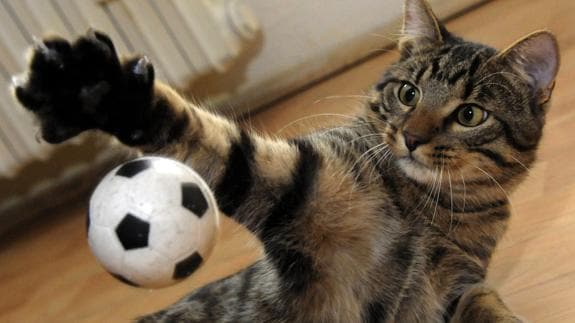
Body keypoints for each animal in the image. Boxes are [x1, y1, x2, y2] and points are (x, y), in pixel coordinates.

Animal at [11, 0, 560, 322]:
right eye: (408, 93)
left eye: (469, 114)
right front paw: (99, 90)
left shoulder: (459, 286)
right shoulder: (299, 182)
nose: (411, 137)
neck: (424, 208)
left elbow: (487, 303)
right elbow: (213, 141)